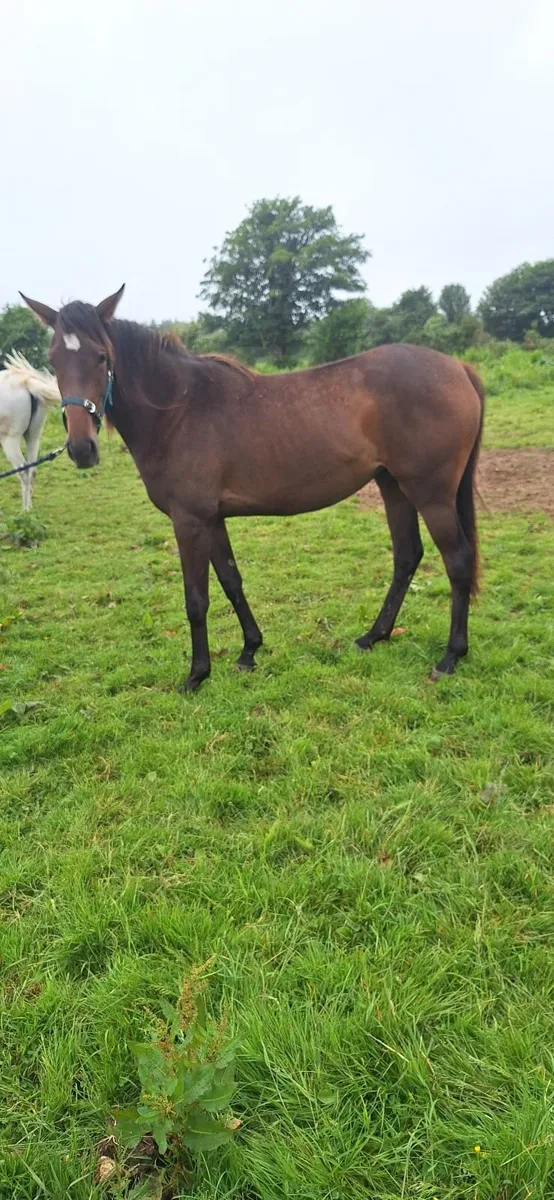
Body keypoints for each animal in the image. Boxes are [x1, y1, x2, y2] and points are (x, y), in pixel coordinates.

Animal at [0, 352, 61, 510]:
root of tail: (27, 383)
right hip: (33, 437)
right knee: (32, 470)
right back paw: (30, 509)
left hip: (10, 441)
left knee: (23, 471)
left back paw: (25, 510)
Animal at [20, 286, 485, 693]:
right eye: (53, 361)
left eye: (101, 357)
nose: (82, 448)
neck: (178, 410)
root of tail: (458, 368)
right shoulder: (212, 518)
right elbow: (231, 581)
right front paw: (249, 651)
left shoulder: (189, 521)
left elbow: (196, 599)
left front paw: (197, 675)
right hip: (394, 487)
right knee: (407, 557)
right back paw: (374, 636)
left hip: (430, 493)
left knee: (457, 560)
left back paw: (450, 656)